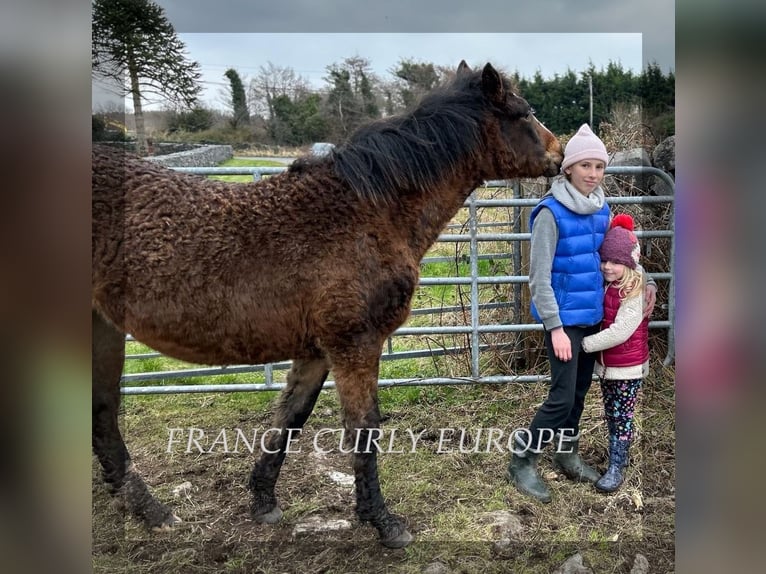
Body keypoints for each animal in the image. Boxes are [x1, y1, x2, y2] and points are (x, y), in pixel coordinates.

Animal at [94, 60, 564, 552]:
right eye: (524, 112)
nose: (561, 152)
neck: (365, 213)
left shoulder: (317, 349)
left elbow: (291, 416)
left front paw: (263, 501)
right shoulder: (354, 343)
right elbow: (363, 427)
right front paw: (382, 522)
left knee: (102, 415)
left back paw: (146, 510)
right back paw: (152, 511)